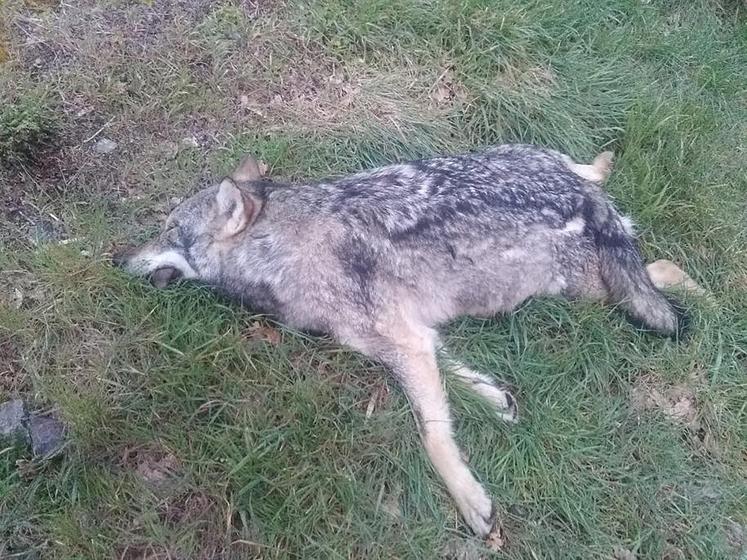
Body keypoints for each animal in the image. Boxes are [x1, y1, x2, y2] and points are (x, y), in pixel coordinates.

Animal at [113, 144, 684, 538]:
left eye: (168, 231)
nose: (117, 260)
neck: (282, 249)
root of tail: (574, 186)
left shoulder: (403, 342)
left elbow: (433, 434)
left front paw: (469, 499)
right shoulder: (416, 336)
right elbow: (459, 375)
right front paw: (494, 397)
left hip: (576, 291)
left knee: (661, 269)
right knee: (636, 230)